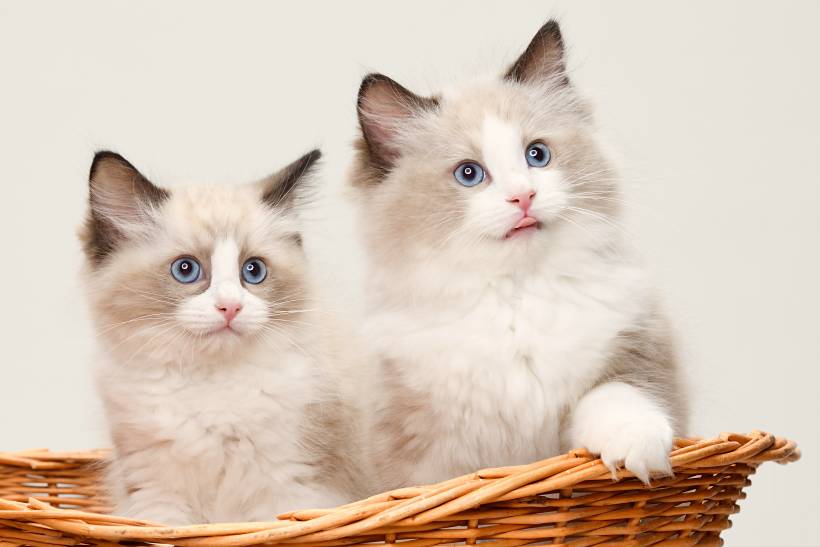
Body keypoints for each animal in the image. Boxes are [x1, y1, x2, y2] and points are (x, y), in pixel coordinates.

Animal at [81, 148, 360, 524]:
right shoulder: (156, 494)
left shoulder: (291, 486)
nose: (230, 307)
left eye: (253, 271)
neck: (210, 383)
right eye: (186, 269)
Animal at [350, 20, 688, 492]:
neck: (517, 295)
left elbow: (618, 399)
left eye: (537, 155)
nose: (523, 197)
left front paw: (638, 453)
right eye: (469, 174)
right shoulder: (422, 449)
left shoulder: (631, 352)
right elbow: (441, 487)